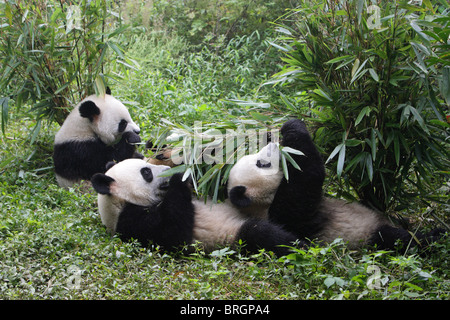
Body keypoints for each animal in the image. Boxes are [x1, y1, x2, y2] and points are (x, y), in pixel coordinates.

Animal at [227, 118, 444, 252]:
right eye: (261, 163)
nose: (273, 146)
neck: (263, 205)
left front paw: (272, 132)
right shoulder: (287, 216)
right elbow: (308, 178)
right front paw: (292, 128)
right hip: (367, 236)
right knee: (399, 239)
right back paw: (435, 236)